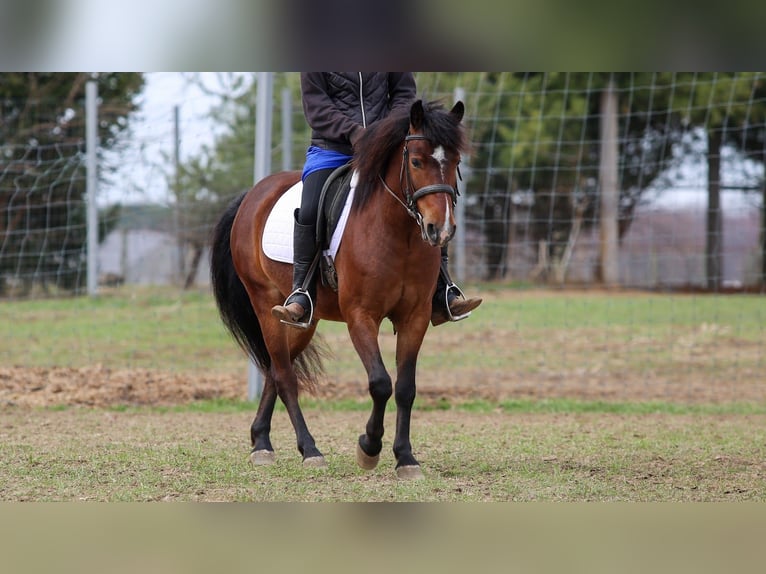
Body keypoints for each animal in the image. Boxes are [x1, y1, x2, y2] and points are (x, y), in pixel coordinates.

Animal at [210, 99, 467, 480]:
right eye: (417, 161)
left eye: (456, 161)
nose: (441, 229)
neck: (397, 233)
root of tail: (252, 195)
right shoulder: (361, 316)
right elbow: (380, 383)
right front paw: (369, 447)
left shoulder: (415, 317)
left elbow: (405, 388)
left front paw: (405, 458)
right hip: (265, 304)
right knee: (284, 375)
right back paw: (309, 449)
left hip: (302, 319)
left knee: (274, 369)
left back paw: (261, 442)